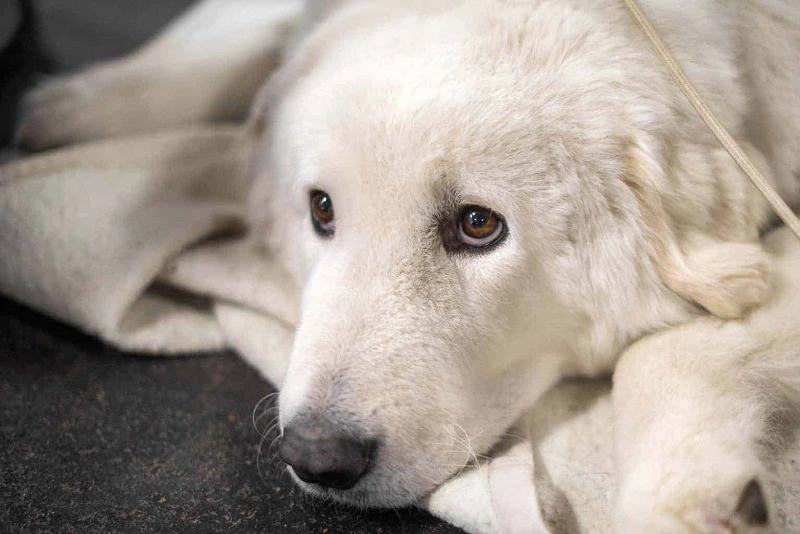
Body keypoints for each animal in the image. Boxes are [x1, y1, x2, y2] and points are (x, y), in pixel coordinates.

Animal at [15, 2, 800, 532]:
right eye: (321, 210)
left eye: (478, 225)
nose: (318, 455)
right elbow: (252, 36)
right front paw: (82, 103)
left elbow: (662, 354)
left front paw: (684, 494)